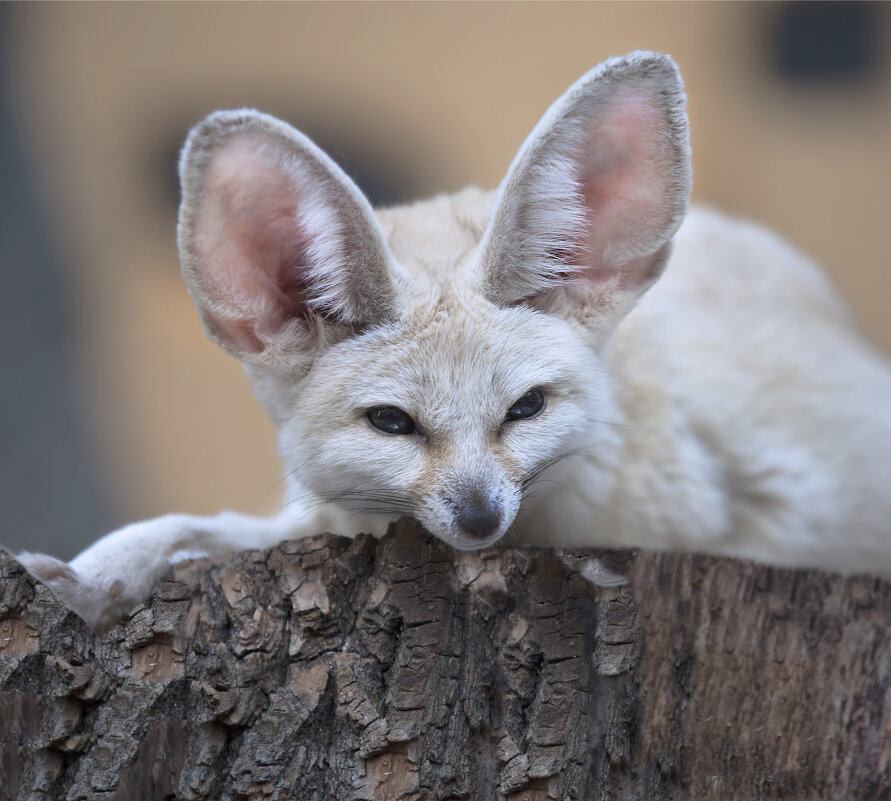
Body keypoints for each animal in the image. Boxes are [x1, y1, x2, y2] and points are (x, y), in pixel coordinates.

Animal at [17, 51, 891, 632]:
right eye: (392, 422)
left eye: (526, 407)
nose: (477, 518)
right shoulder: (327, 513)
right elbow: (204, 526)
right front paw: (100, 572)